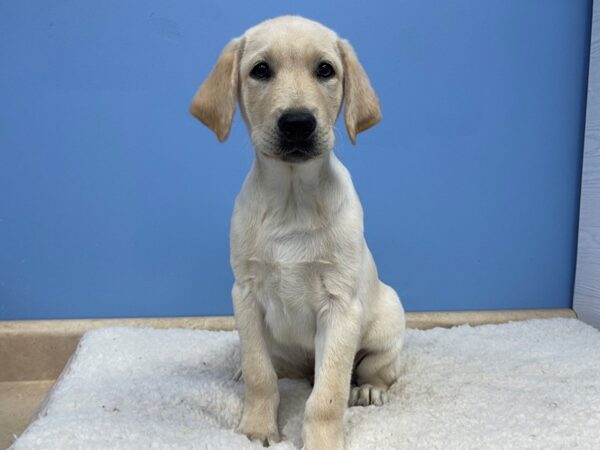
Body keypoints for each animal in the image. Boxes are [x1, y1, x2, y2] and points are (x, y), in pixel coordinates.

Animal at [191, 14, 408, 450]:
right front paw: (257, 429)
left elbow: (327, 395)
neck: (292, 199)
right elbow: (260, 375)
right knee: (273, 368)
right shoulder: (246, 297)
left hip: (388, 322)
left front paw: (322, 442)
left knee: (377, 369)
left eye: (325, 70)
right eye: (260, 70)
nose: (297, 123)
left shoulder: (340, 308)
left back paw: (369, 388)